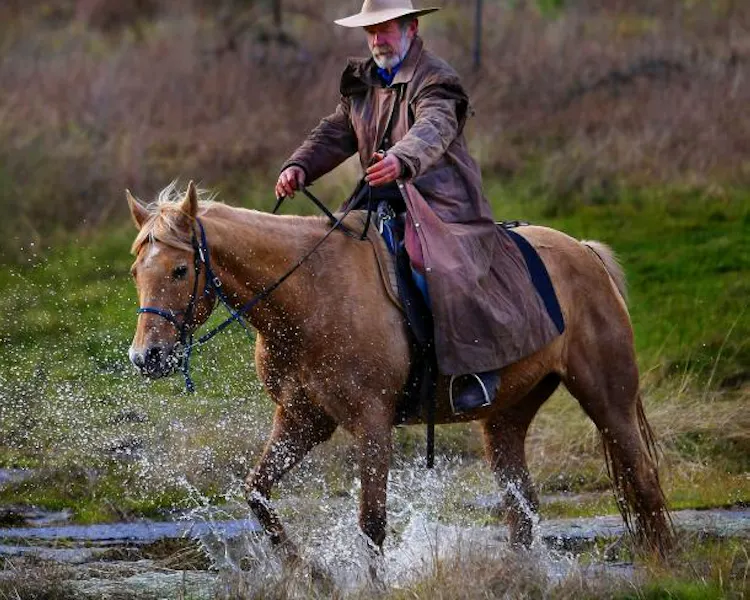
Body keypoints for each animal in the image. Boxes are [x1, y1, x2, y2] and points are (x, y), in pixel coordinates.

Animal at [126, 181, 673, 561]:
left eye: (180, 270)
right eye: (136, 272)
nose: (146, 358)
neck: (310, 294)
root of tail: (585, 252)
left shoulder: (372, 423)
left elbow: (371, 523)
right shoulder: (301, 420)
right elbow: (258, 495)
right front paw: (311, 573)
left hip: (607, 398)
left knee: (644, 480)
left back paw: (664, 566)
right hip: (506, 418)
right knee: (522, 509)